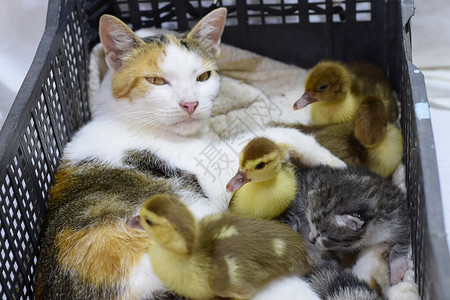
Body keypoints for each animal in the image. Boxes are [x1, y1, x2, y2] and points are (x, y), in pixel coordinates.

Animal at [35, 7, 344, 300]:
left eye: (203, 77)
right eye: (156, 80)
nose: (190, 104)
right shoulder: (216, 174)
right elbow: (270, 135)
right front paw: (331, 160)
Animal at [276, 165, 410, 284]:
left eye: (324, 235)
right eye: (310, 224)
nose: (311, 240)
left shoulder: (399, 218)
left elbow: (401, 243)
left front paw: (396, 269)